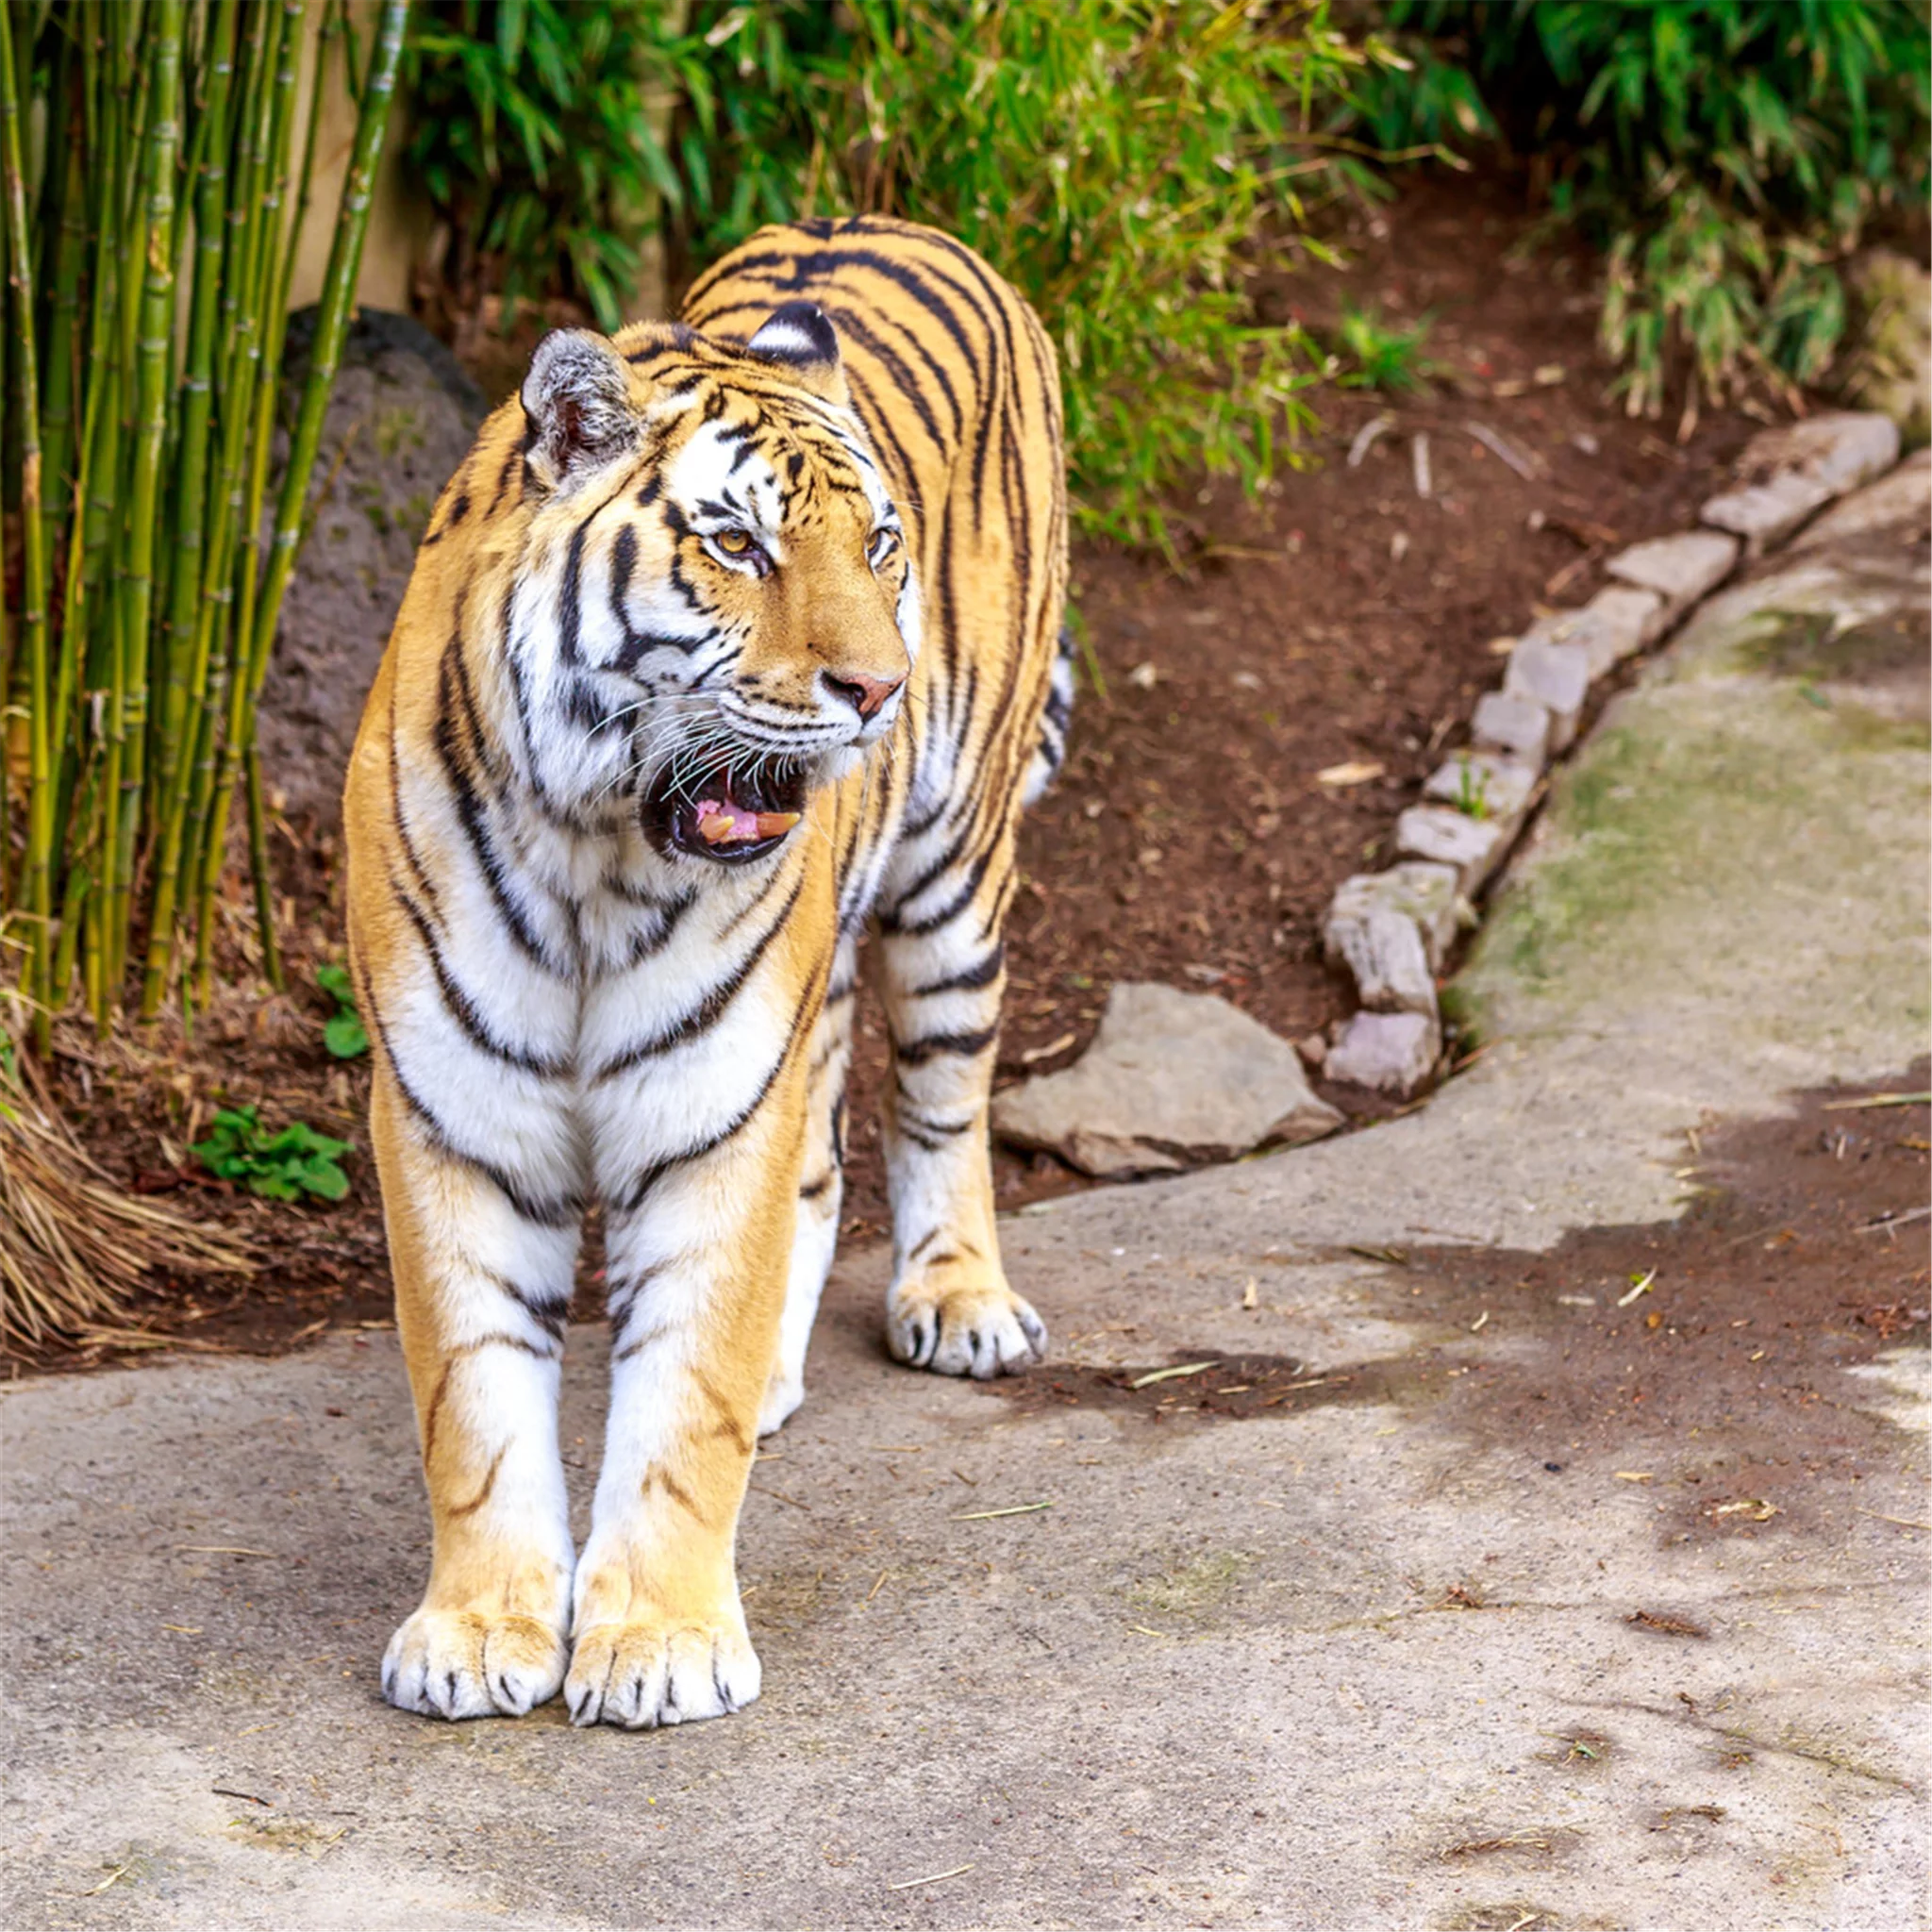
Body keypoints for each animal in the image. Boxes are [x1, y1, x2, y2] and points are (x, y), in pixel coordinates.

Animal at [343, 219, 1074, 1731]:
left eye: (879, 545)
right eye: (735, 544)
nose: (879, 689)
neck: (592, 851)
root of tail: (896, 219)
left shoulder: (711, 1108)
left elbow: (681, 1404)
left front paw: (660, 1646)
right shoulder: (450, 1115)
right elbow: (473, 1403)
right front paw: (480, 1632)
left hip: (954, 874)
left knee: (942, 1099)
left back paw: (960, 1301)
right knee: (825, 1160)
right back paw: (784, 1370)